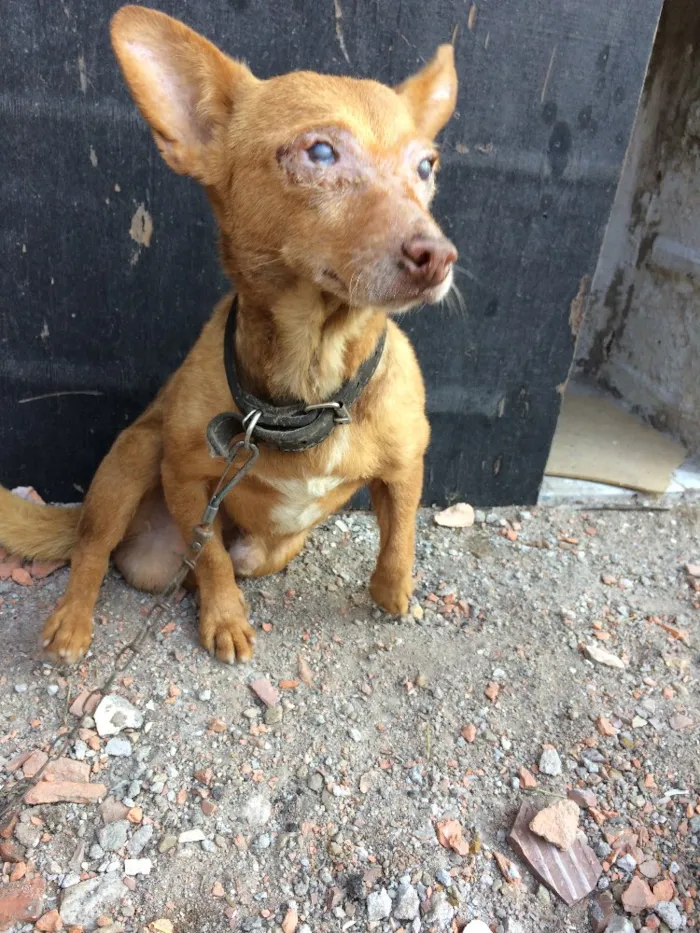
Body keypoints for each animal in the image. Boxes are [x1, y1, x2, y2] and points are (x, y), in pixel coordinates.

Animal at [0, 5, 460, 664]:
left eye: (426, 167)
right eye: (321, 152)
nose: (439, 256)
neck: (312, 382)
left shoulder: (406, 466)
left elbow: (400, 536)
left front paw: (393, 594)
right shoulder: (188, 482)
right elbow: (213, 556)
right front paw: (223, 617)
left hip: (270, 547)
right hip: (130, 461)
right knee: (92, 549)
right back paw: (72, 621)